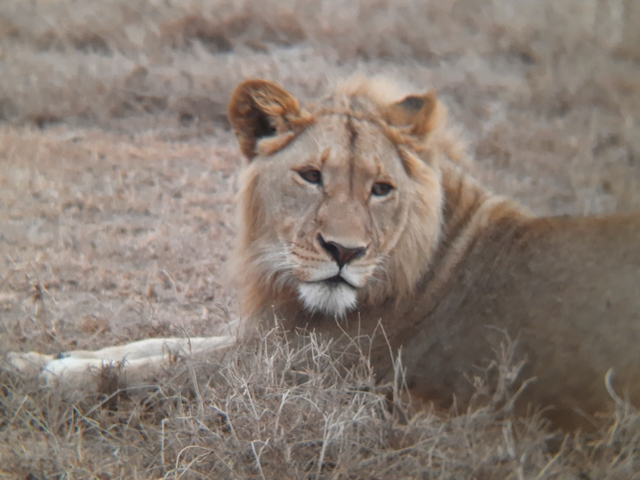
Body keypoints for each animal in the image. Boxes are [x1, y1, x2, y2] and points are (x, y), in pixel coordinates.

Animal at [9, 77, 640, 430]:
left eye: (381, 189)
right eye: (311, 176)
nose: (344, 250)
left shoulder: (295, 376)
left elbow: (153, 373)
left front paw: (41, 377)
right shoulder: (267, 338)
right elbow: (150, 345)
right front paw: (40, 358)